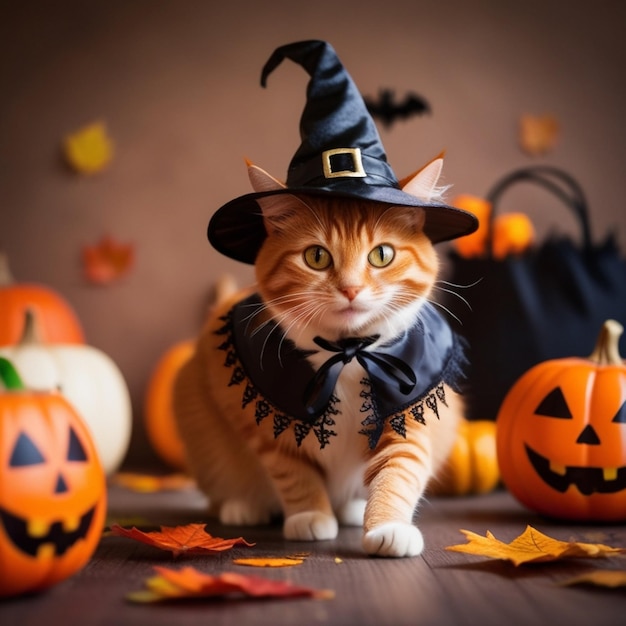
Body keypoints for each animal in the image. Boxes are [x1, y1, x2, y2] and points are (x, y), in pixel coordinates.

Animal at [171, 156, 464, 556]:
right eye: (316, 256)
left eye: (382, 255)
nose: (351, 289)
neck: (348, 353)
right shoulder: (259, 419)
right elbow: (294, 472)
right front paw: (310, 515)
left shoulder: (411, 412)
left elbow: (400, 470)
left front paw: (388, 525)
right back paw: (242, 506)